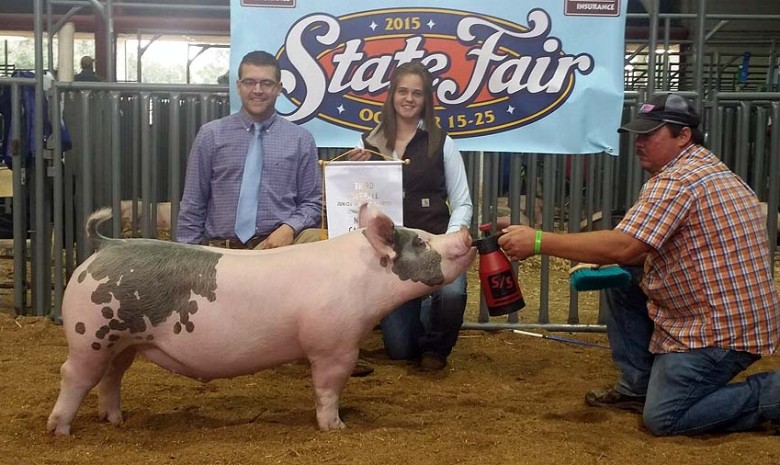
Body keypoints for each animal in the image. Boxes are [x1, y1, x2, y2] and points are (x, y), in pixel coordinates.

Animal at [48, 203, 478, 436]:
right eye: (421, 240)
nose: (467, 235)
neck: (364, 279)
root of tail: (108, 245)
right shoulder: (333, 343)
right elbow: (328, 388)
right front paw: (336, 427)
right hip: (90, 335)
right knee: (74, 375)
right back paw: (60, 430)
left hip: (123, 341)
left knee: (110, 377)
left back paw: (116, 421)